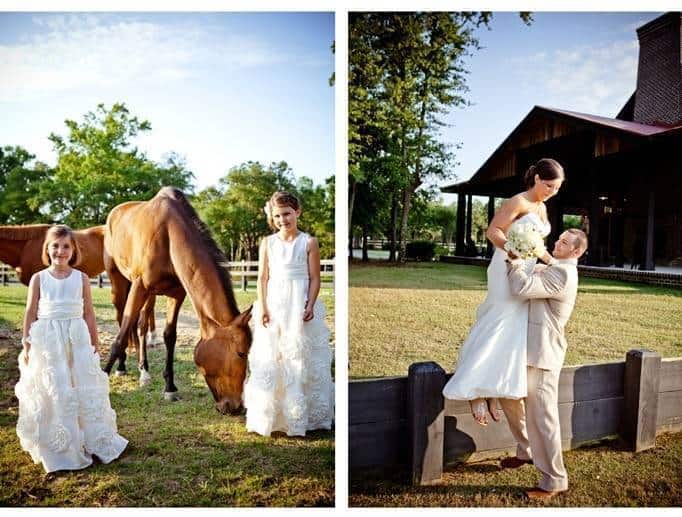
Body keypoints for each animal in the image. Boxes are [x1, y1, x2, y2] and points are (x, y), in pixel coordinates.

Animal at [99, 187, 251, 414]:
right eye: (241, 353)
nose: (236, 407)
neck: (168, 233)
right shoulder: (139, 286)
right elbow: (121, 337)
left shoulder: (177, 294)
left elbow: (169, 336)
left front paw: (169, 387)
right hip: (119, 281)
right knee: (122, 320)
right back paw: (122, 367)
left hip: (150, 295)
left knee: (142, 325)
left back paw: (144, 372)